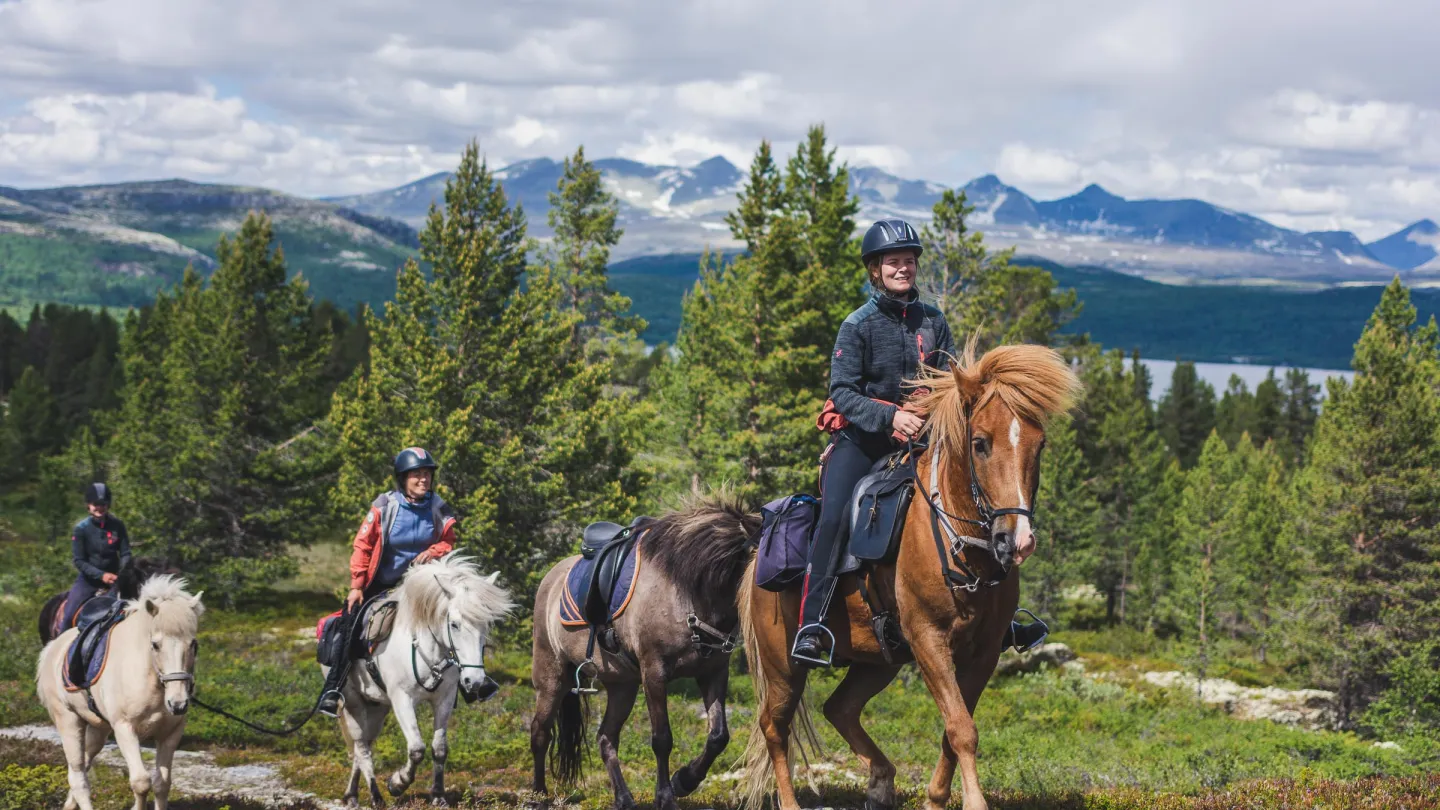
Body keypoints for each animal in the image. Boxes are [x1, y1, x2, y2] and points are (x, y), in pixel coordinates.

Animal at [34, 570, 204, 807]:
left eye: (193, 644)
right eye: (155, 645)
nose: (178, 704)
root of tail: (52, 649)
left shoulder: (170, 734)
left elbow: (162, 785)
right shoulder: (125, 729)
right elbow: (141, 782)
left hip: (98, 729)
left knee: (85, 764)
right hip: (68, 721)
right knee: (78, 776)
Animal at [329, 550, 518, 801]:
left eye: (486, 625)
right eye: (454, 624)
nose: (476, 682)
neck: (429, 654)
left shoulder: (444, 699)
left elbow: (439, 748)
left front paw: (438, 794)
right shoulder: (402, 699)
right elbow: (417, 748)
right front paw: (397, 783)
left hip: (376, 707)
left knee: (364, 745)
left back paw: (352, 793)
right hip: (352, 703)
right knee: (361, 748)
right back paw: (374, 795)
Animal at [737, 338, 1077, 807]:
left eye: (1038, 445)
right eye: (980, 443)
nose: (1017, 540)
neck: (962, 552)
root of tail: (756, 558)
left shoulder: (984, 652)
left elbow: (954, 729)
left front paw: (935, 798)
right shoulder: (929, 640)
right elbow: (962, 729)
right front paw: (972, 801)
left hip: (879, 661)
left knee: (839, 708)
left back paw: (881, 781)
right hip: (783, 665)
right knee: (775, 725)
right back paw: (792, 800)